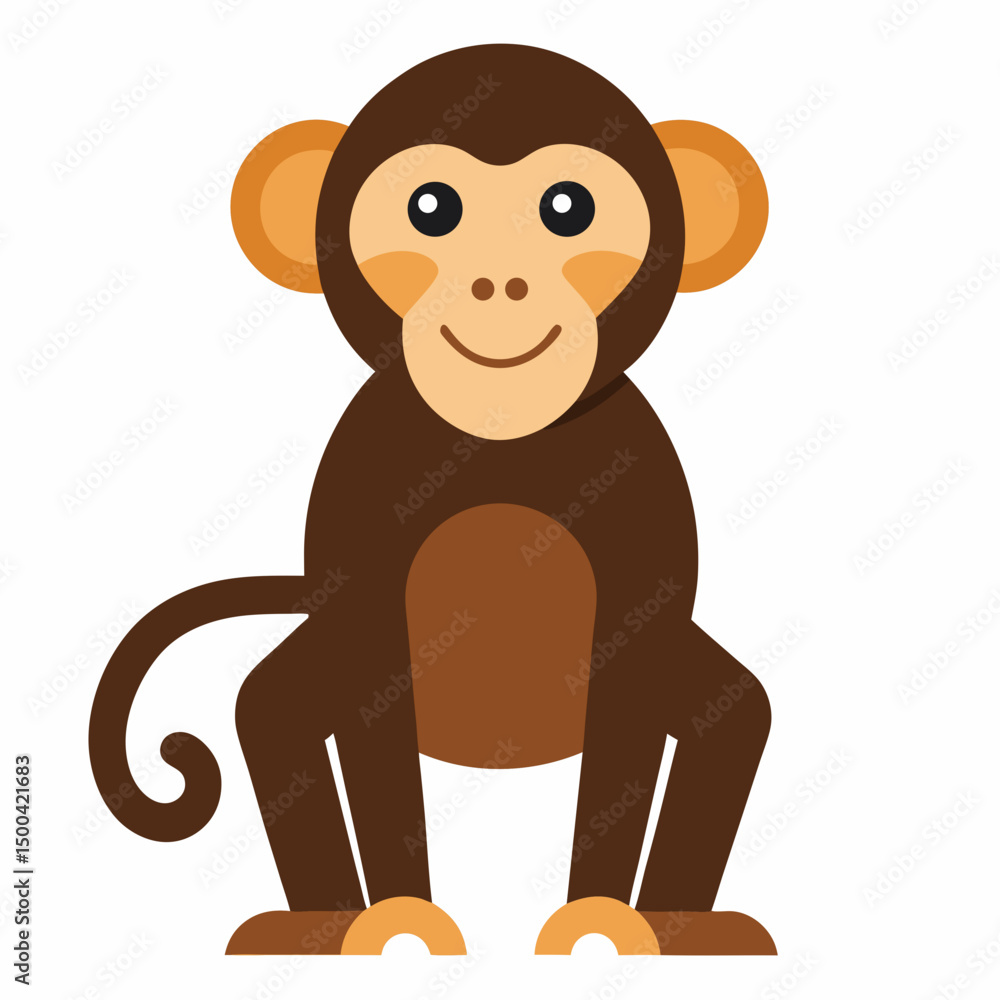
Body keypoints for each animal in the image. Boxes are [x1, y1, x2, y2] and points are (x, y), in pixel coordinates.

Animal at [89, 43, 774, 957]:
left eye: (568, 208)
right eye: (432, 208)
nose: (500, 283)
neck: (499, 443)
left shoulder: (637, 498)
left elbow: (627, 709)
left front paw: (598, 923)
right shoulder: (365, 513)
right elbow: (374, 708)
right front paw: (399, 923)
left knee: (727, 721)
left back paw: (690, 925)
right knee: (273, 714)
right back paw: (310, 926)